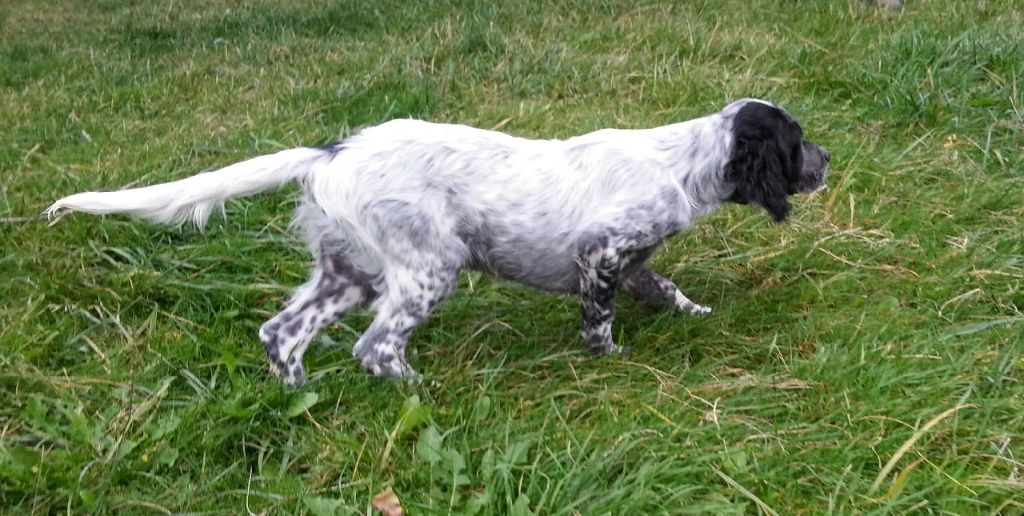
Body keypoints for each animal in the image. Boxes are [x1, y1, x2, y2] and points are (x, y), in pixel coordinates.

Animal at [49, 98, 831, 384]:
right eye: (797, 143)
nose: (829, 160)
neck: (684, 161)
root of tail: (332, 151)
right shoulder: (602, 254)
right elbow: (599, 320)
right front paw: (609, 360)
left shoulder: (632, 263)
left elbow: (666, 287)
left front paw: (698, 315)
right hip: (428, 265)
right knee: (375, 347)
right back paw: (419, 392)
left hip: (348, 271)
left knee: (281, 331)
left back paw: (299, 394)